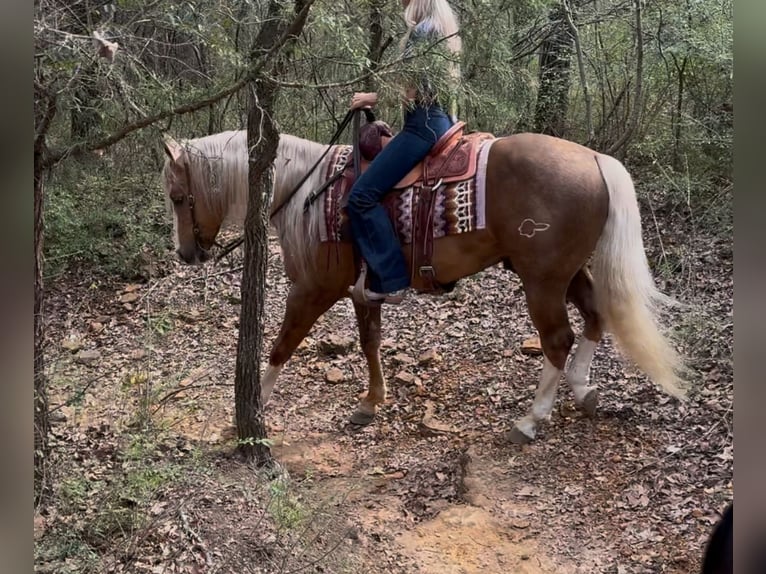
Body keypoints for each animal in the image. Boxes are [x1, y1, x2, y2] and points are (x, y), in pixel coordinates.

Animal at [164, 126, 688, 444]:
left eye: (177, 196)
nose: (186, 253)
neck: (306, 191)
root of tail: (595, 158)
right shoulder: (364, 292)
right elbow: (370, 343)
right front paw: (371, 403)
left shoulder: (312, 290)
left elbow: (281, 346)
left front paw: (254, 407)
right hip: (566, 272)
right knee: (596, 317)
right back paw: (583, 391)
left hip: (541, 280)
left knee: (558, 339)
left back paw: (531, 419)